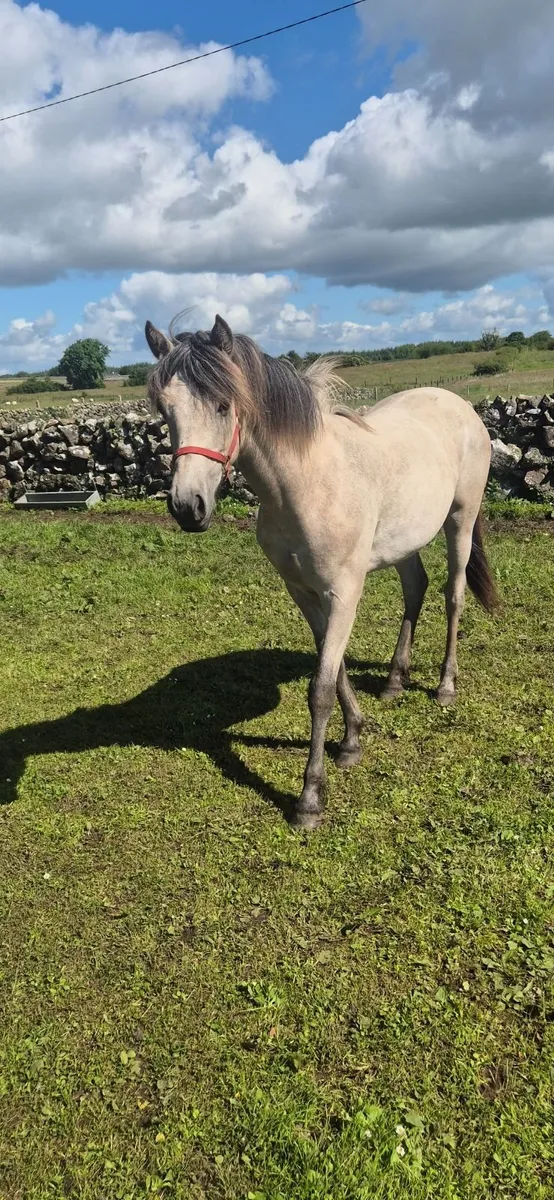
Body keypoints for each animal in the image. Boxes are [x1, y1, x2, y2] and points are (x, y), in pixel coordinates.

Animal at [145, 314, 497, 830]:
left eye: (223, 404)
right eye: (164, 411)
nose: (189, 508)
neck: (307, 483)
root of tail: (461, 406)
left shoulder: (345, 591)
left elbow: (321, 688)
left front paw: (311, 797)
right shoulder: (304, 592)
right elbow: (337, 669)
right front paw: (352, 740)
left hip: (461, 521)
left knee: (453, 596)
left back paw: (445, 686)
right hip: (404, 542)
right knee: (416, 590)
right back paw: (394, 682)